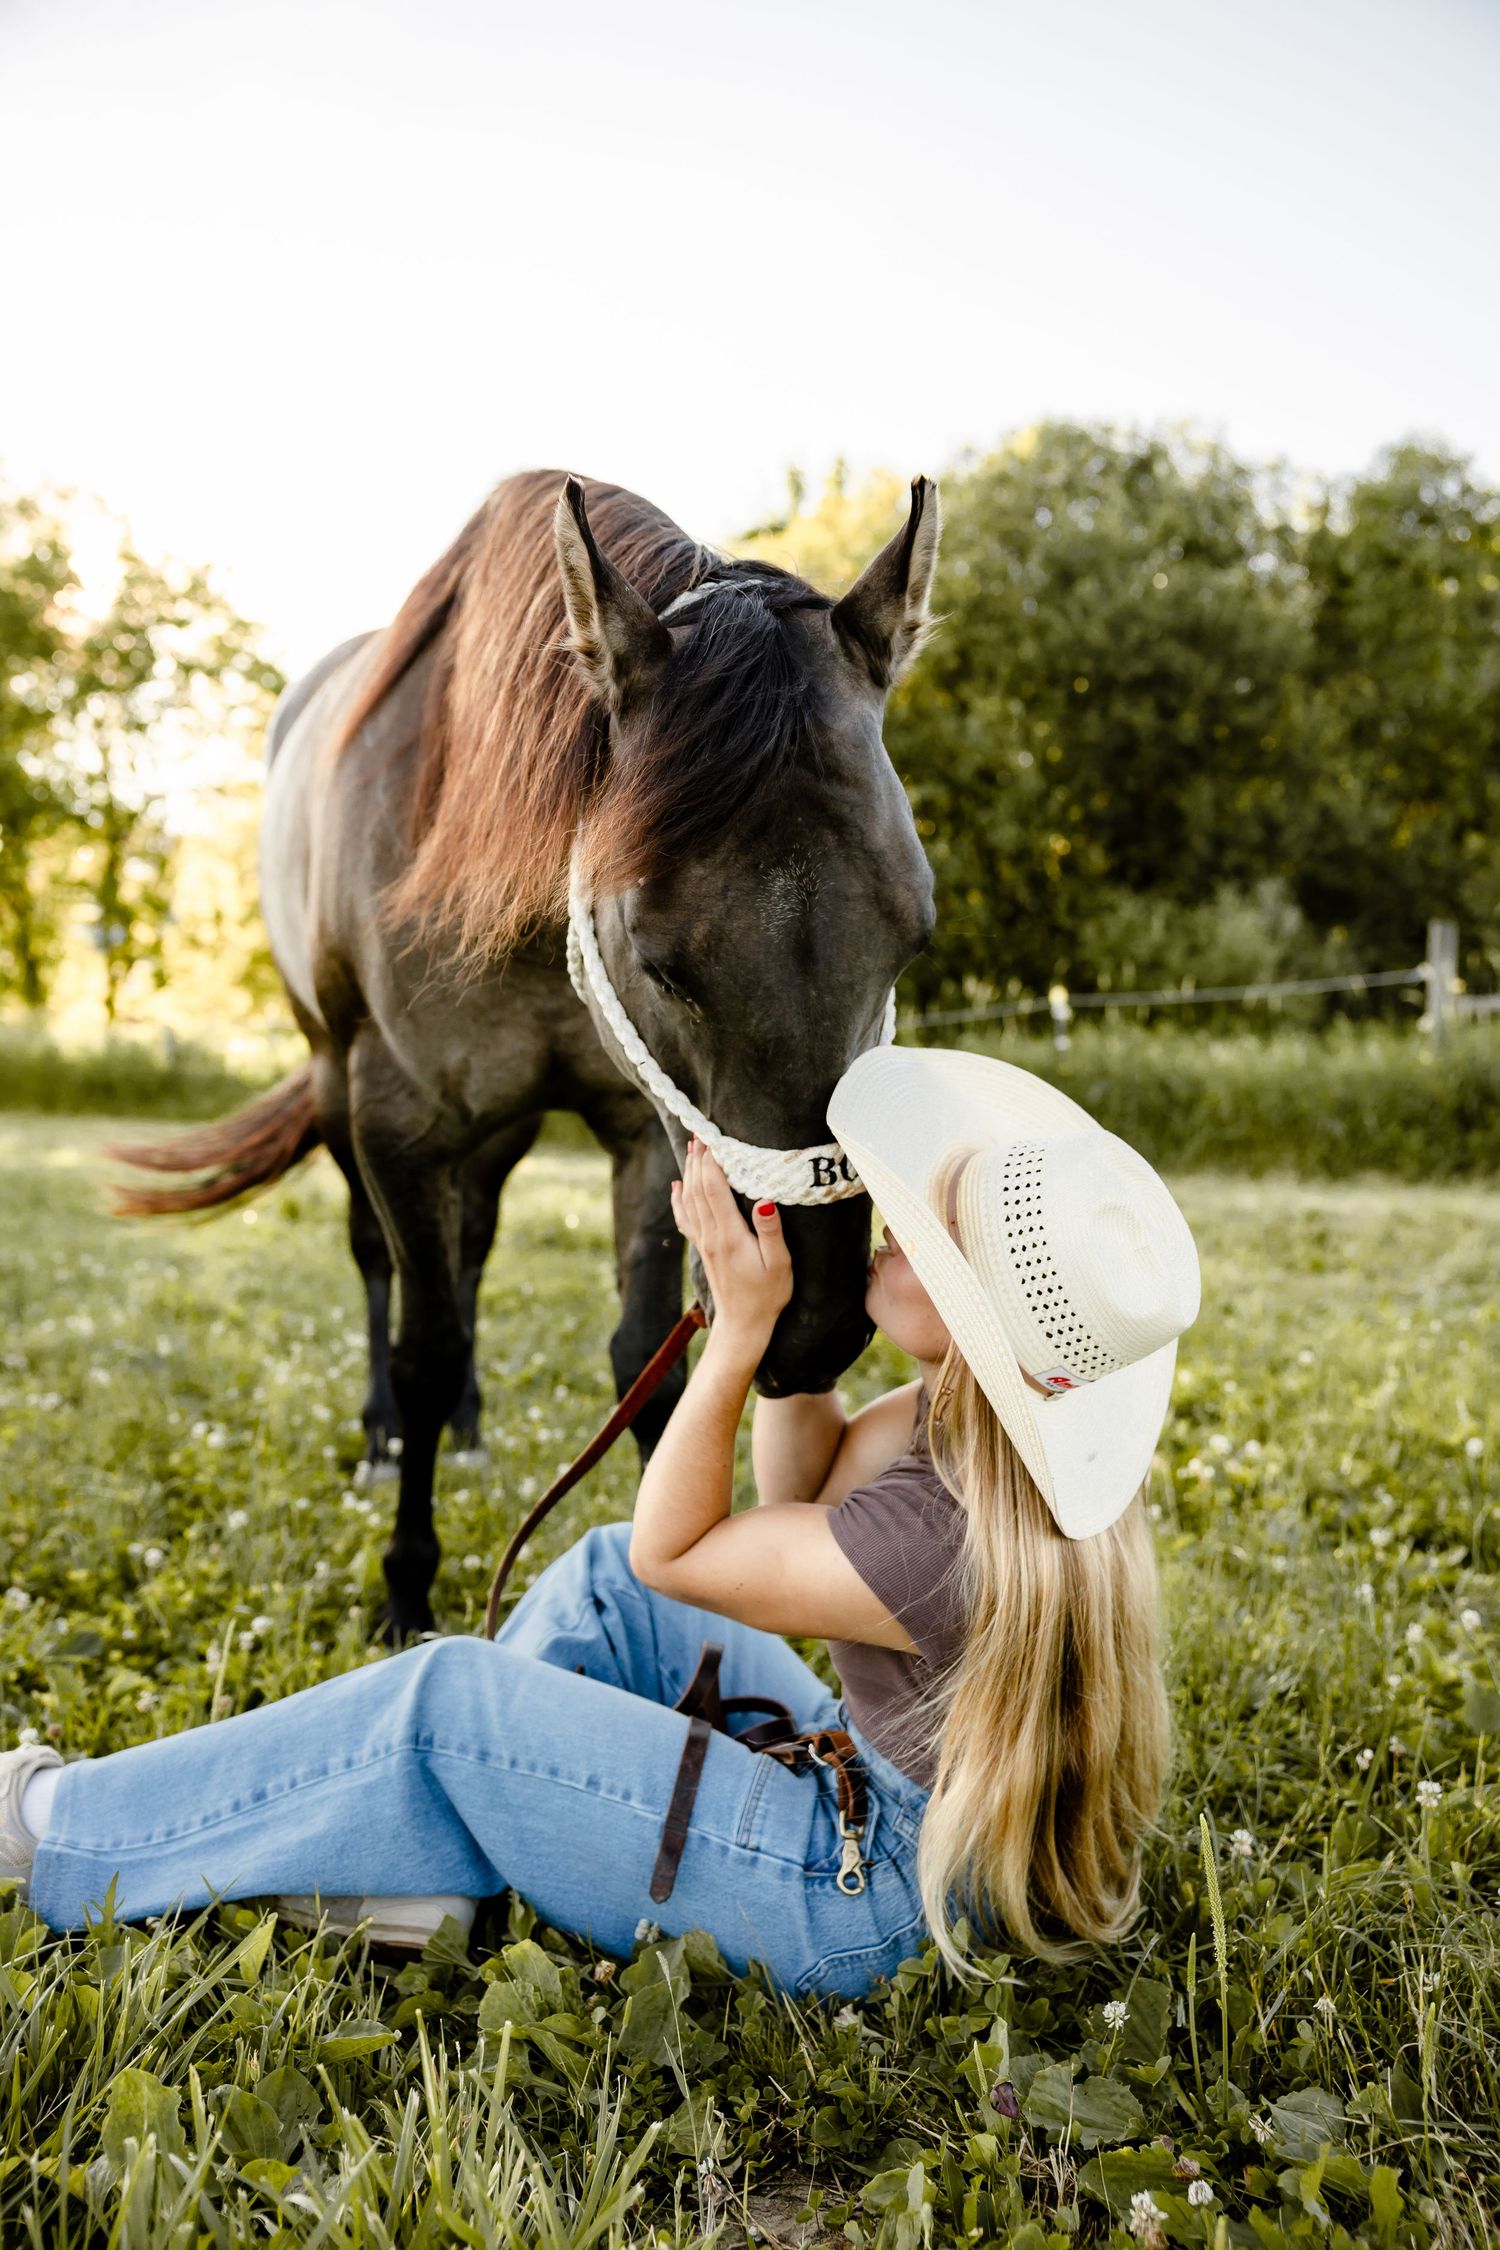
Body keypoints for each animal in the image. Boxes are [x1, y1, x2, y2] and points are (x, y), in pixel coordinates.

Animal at [113, 469, 940, 1640]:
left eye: (914, 933)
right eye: (658, 956)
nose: (814, 1330)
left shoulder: (644, 1127)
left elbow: (642, 1355)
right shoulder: (396, 1120)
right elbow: (421, 1347)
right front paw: (405, 1585)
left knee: (469, 1250)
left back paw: (465, 1426)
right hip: (337, 1085)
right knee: (384, 1267)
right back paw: (385, 1441)